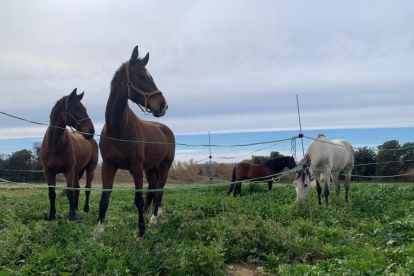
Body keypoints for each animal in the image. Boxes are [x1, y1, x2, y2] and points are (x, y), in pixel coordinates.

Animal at [40, 89, 98, 221]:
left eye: (85, 108)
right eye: (76, 107)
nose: (91, 131)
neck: (55, 145)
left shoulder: (69, 170)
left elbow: (70, 192)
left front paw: (71, 215)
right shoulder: (48, 172)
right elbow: (52, 194)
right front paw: (52, 214)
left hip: (90, 168)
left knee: (87, 188)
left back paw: (85, 209)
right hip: (77, 172)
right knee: (78, 189)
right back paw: (76, 208)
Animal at [94, 45, 175, 242]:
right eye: (141, 75)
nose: (162, 105)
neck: (118, 129)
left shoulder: (136, 168)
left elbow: (137, 200)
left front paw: (141, 231)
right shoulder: (108, 166)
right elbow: (104, 198)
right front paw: (98, 231)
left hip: (164, 166)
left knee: (159, 190)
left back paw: (153, 220)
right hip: (151, 168)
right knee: (153, 189)